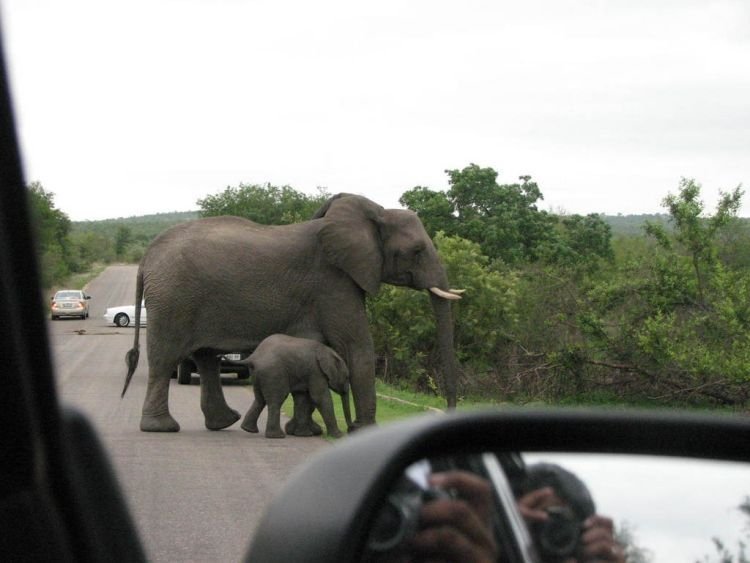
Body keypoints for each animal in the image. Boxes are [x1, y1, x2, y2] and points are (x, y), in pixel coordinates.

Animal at [120, 193, 462, 432]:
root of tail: (146, 257)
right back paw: (162, 428)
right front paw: (364, 431)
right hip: (173, 299)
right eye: (417, 251)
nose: (449, 412)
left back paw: (223, 423)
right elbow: (357, 348)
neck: (374, 213)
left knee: (206, 359)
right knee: (165, 360)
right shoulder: (333, 282)